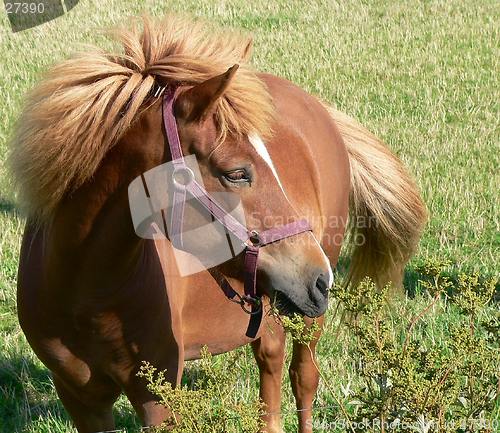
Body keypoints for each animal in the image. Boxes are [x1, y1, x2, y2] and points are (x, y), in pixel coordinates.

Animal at [8, 15, 426, 432]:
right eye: (237, 173)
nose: (319, 277)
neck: (86, 292)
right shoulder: (80, 399)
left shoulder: (160, 399)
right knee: (271, 367)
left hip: (310, 317)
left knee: (303, 378)